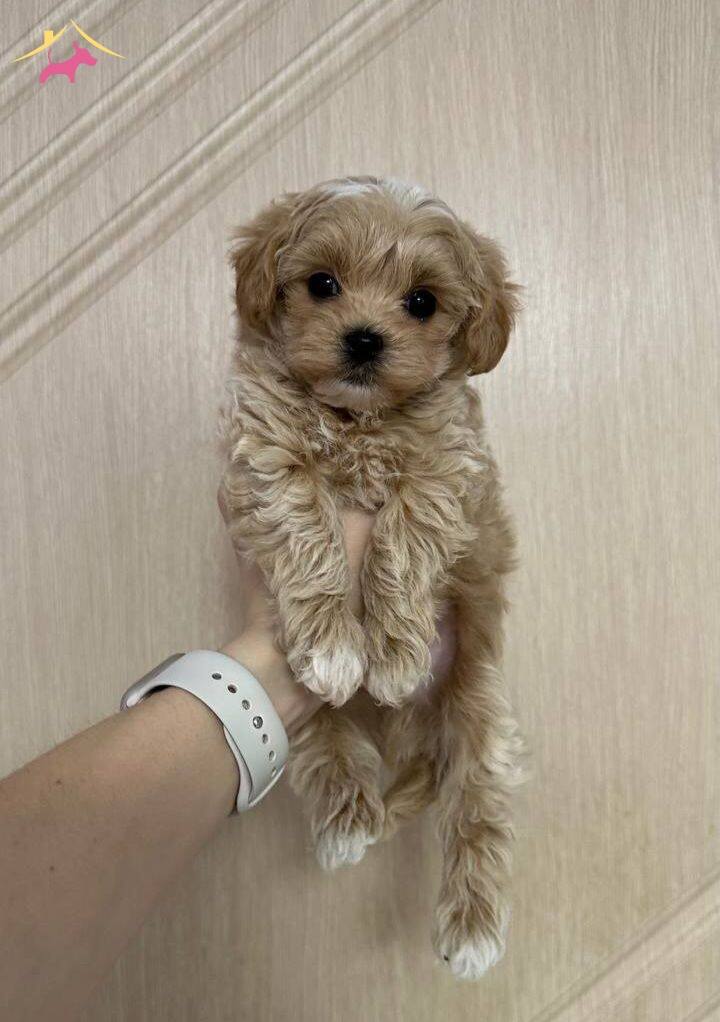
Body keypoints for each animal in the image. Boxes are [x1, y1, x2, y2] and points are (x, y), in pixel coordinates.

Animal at [220, 176, 524, 979]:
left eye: (422, 301)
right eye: (322, 285)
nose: (364, 338)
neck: (360, 421)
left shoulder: (449, 469)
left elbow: (406, 531)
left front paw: (393, 654)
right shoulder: (267, 454)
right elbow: (305, 520)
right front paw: (337, 644)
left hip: (480, 707)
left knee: (477, 810)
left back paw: (472, 927)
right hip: (309, 710)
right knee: (326, 740)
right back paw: (348, 815)